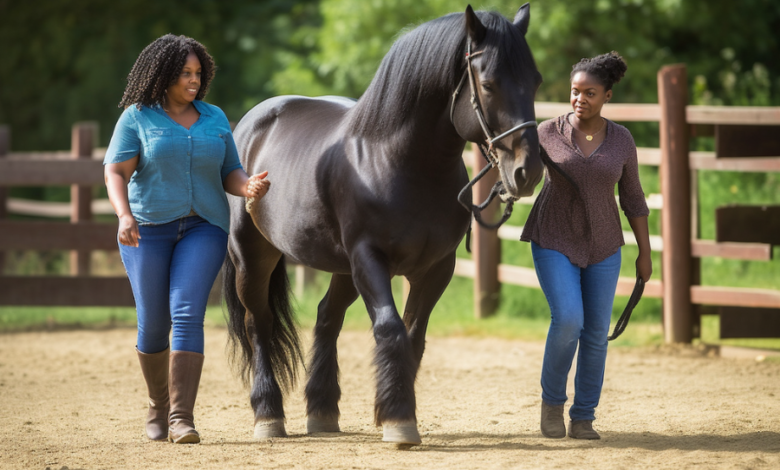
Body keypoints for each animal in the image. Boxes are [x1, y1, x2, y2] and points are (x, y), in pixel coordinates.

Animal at [225, 3, 544, 446]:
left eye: (535, 81)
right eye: (489, 83)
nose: (527, 172)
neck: (398, 160)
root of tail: (251, 123)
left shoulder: (436, 268)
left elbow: (413, 336)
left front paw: (392, 412)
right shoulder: (369, 259)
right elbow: (390, 328)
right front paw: (398, 419)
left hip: (341, 268)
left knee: (327, 317)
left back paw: (322, 411)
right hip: (253, 254)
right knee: (259, 324)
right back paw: (268, 415)